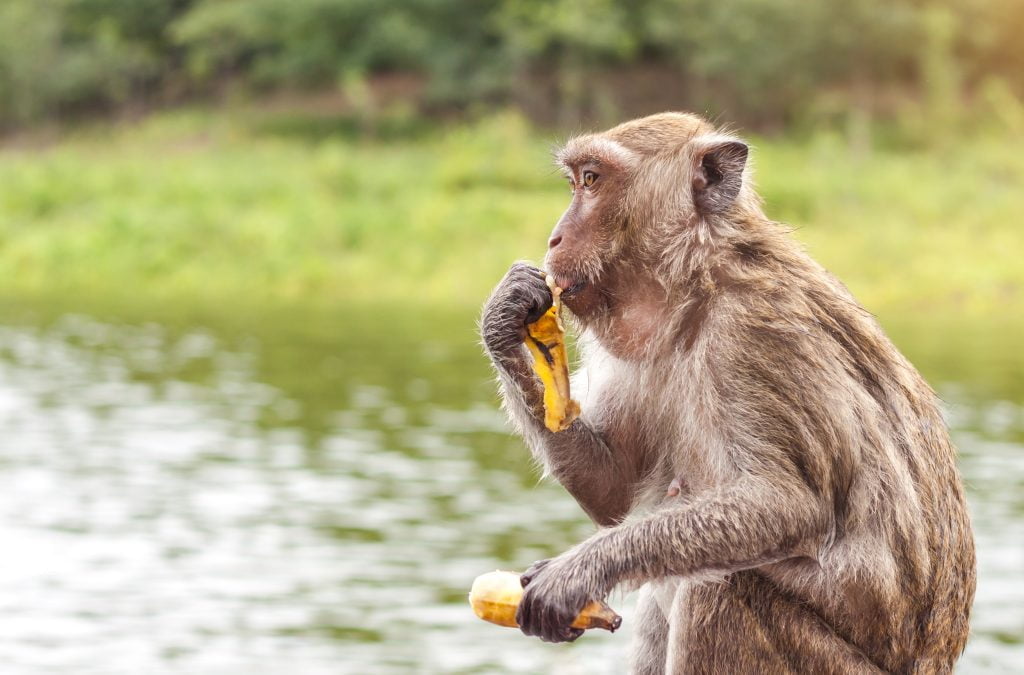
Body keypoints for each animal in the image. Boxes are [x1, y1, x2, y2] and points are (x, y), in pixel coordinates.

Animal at [479, 113, 974, 671]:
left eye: (591, 179)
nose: (555, 238)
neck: (698, 283)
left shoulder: (755, 337)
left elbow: (786, 504)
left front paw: (579, 570)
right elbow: (612, 488)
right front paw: (506, 313)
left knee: (722, 587)